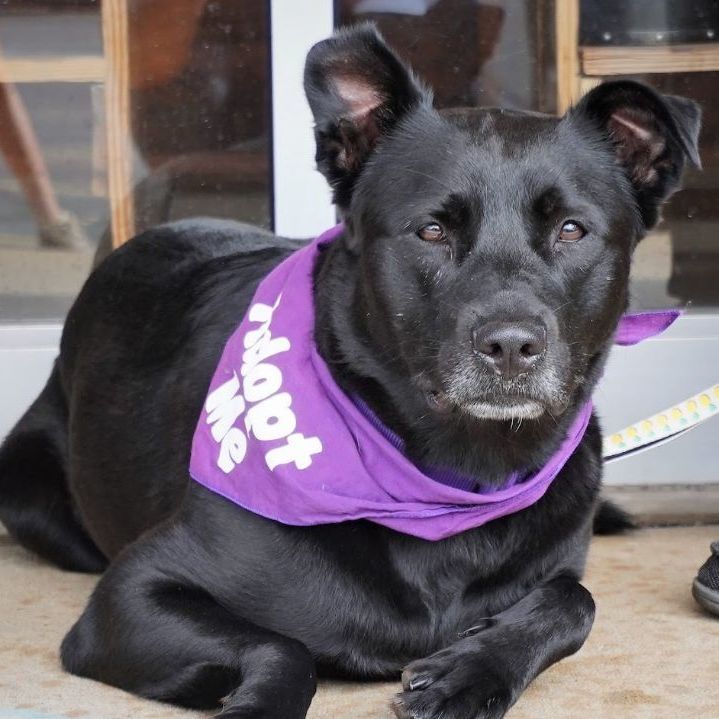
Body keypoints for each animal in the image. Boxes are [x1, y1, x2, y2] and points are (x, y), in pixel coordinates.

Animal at [0, 23, 696, 719]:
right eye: (431, 230)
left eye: (572, 230)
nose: (510, 346)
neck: (453, 481)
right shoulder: (132, 593)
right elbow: (284, 646)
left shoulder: (559, 571)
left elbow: (576, 601)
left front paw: (472, 671)